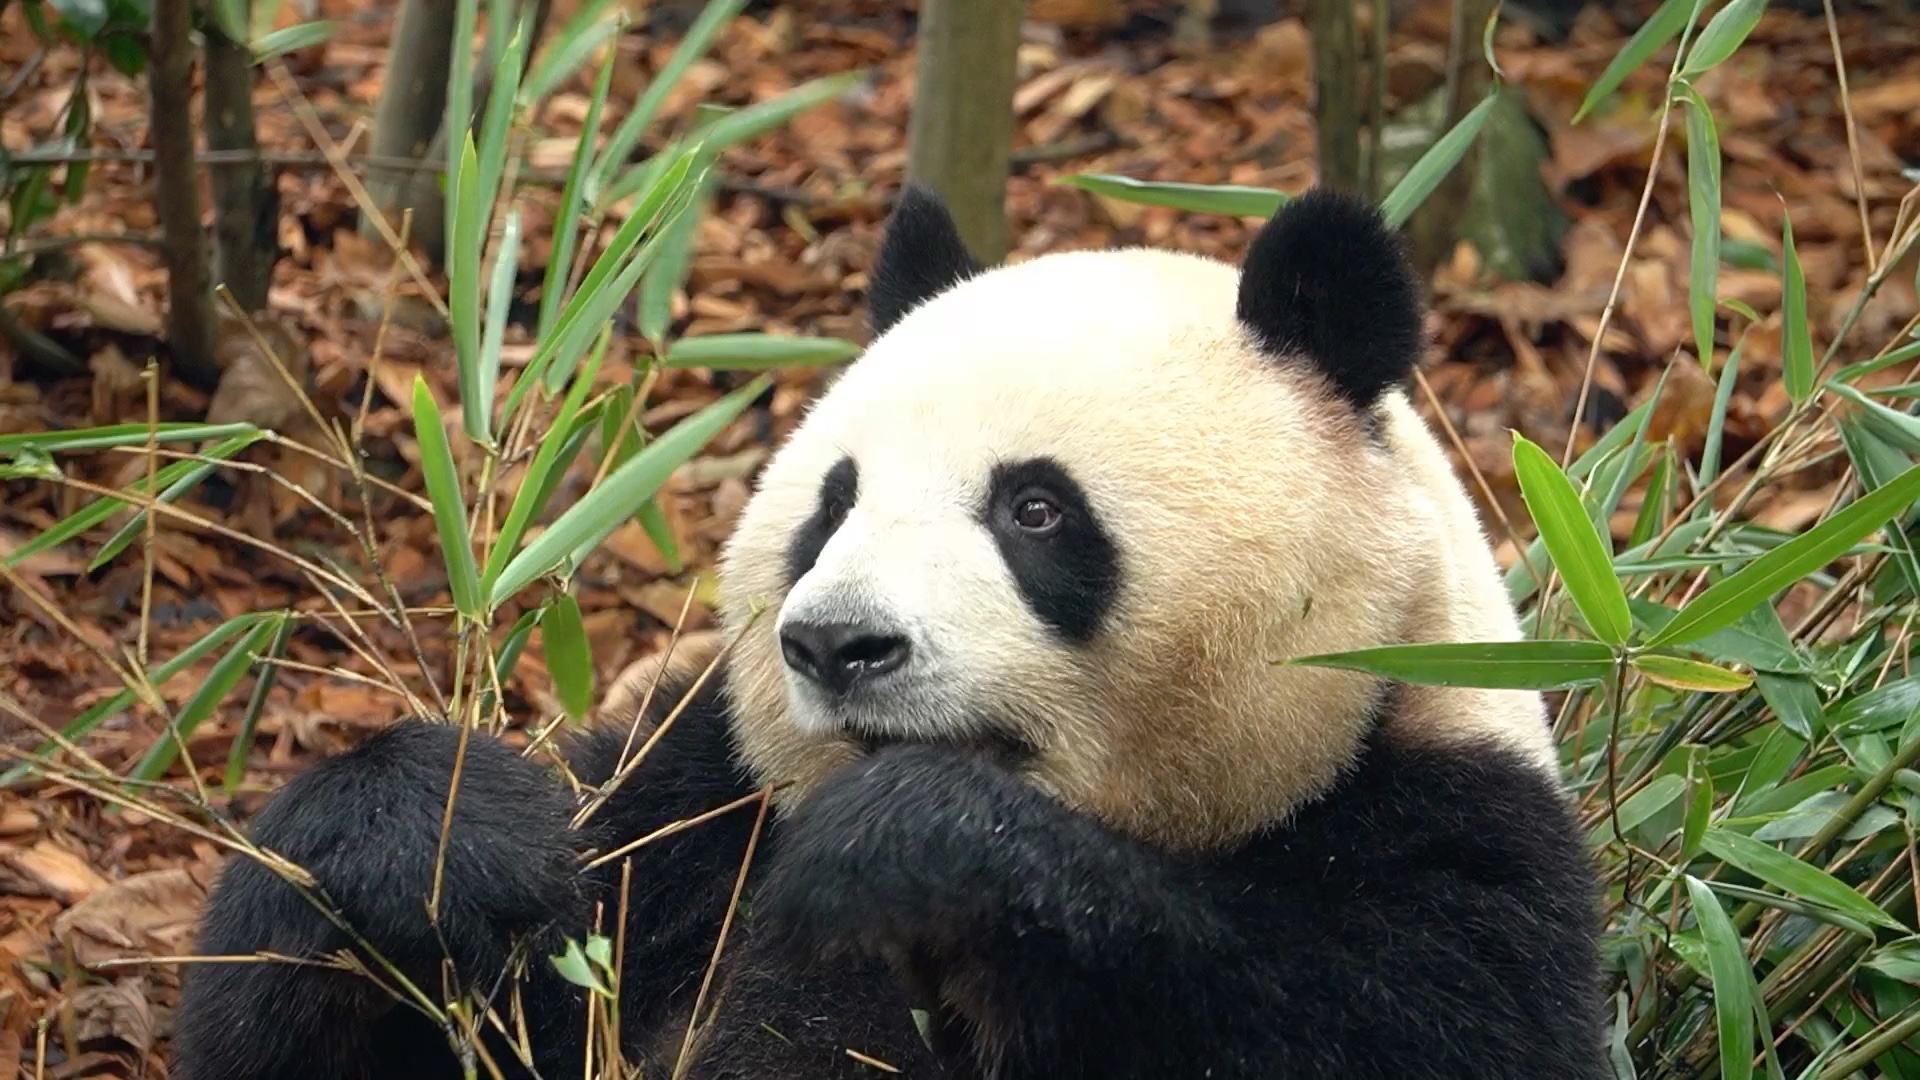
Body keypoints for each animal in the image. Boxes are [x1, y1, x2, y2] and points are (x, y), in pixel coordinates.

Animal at [168, 187, 1605, 1076]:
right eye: (834, 503)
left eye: (1036, 509)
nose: (836, 645)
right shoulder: (700, 814)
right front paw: (437, 834)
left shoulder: (1453, 842)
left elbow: (1343, 1021)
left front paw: (914, 854)